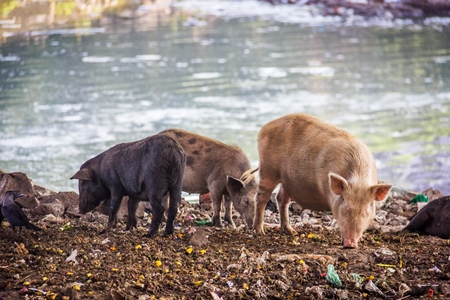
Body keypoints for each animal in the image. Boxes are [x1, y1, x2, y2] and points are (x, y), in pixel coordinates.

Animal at [255, 113, 392, 247]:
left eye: (364, 212)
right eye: (346, 209)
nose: (351, 243)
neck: (359, 180)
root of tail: (263, 128)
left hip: (286, 180)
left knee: (281, 199)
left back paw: (291, 231)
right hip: (268, 170)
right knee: (261, 198)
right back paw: (259, 231)